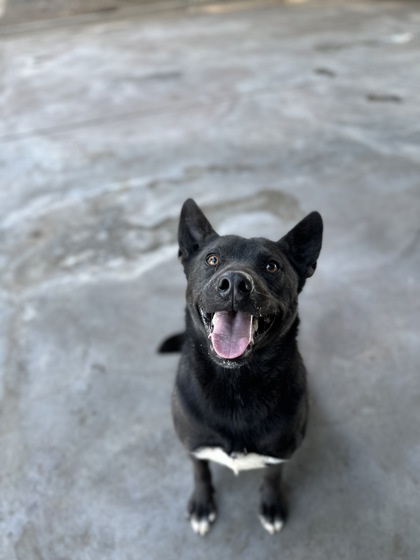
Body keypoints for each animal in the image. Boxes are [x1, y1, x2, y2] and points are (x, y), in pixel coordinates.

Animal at [159, 199, 324, 536]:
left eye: (272, 266)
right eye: (212, 259)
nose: (235, 282)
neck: (236, 382)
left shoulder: (279, 453)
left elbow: (272, 478)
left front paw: (271, 506)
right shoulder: (193, 446)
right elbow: (200, 472)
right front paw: (202, 505)